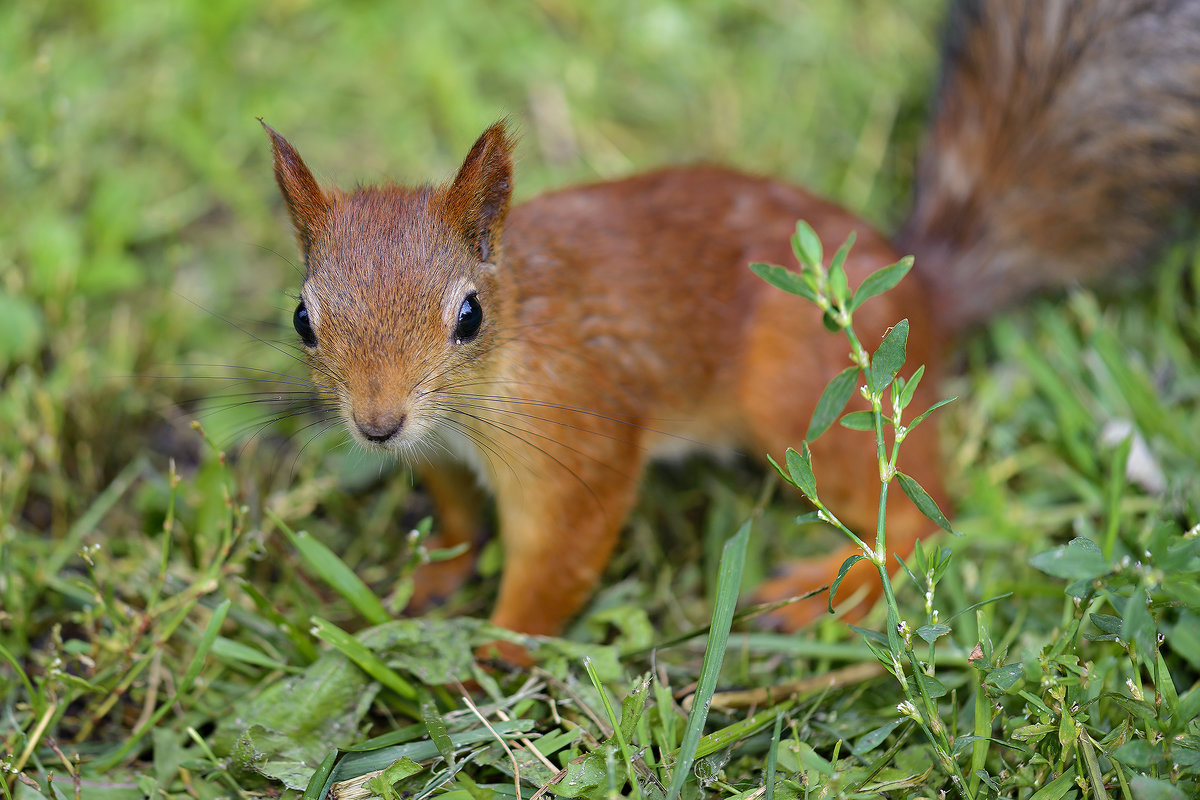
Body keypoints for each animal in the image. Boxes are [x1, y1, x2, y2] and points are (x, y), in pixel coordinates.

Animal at [258, 0, 1200, 662]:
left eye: (468, 316)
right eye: (303, 317)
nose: (377, 425)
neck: (515, 343)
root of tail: (926, 288)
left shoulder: (577, 434)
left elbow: (557, 556)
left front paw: (492, 657)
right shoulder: (446, 458)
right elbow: (456, 516)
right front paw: (435, 575)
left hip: (805, 401)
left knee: (918, 516)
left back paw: (836, 583)